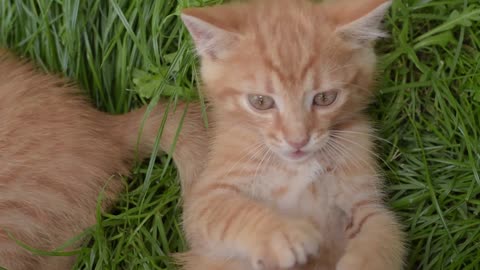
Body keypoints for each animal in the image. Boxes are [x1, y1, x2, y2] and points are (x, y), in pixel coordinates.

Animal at [179, 0, 404, 270]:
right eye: (261, 101)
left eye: (325, 98)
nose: (298, 140)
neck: (296, 166)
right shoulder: (205, 198)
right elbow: (228, 213)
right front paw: (282, 234)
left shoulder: (363, 201)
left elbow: (384, 231)